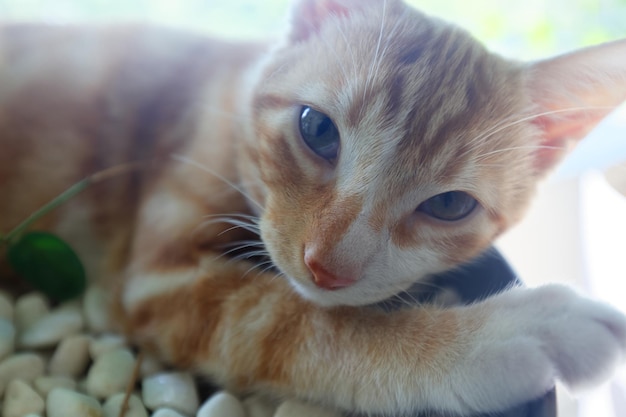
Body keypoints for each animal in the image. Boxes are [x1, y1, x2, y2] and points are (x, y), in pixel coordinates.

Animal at [1, 0, 624, 414]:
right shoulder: (160, 281)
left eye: (449, 204)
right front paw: (494, 337)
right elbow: (298, 322)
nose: (326, 265)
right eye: (317, 129)